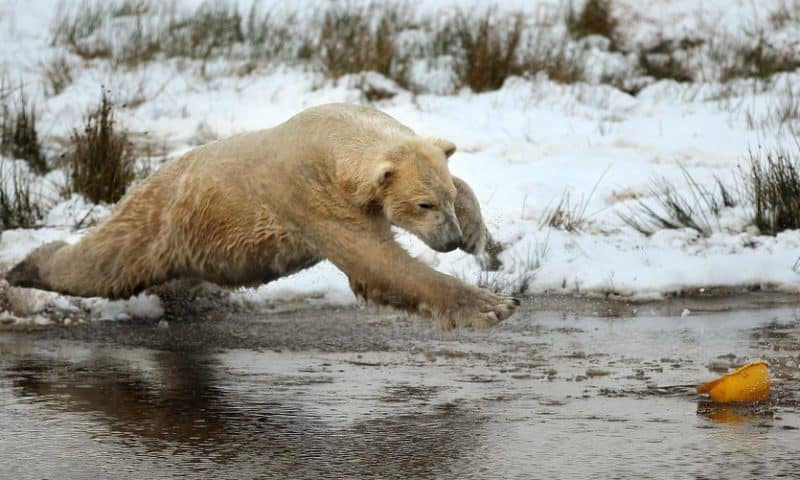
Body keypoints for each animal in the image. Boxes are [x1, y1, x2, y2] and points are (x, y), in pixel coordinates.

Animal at [7, 104, 520, 330]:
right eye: (423, 205)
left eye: (444, 198)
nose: (450, 240)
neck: (331, 132)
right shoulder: (309, 194)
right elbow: (375, 263)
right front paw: (493, 304)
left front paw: (478, 233)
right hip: (157, 221)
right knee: (103, 264)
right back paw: (24, 266)